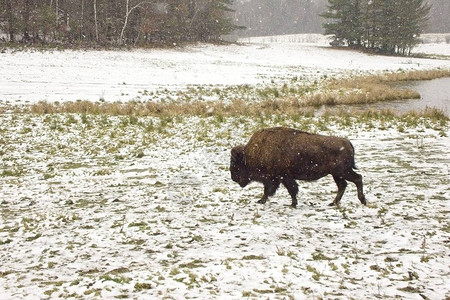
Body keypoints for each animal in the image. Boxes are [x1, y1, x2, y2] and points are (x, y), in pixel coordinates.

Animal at [230, 127, 368, 209]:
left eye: (235, 163)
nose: (233, 178)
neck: (250, 154)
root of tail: (347, 143)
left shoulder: (280, 177)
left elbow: (283, 190)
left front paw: (291, 204)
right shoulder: (281, 178)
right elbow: (286, 190)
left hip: (342, 172)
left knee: (357, 179)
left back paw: (362, 200)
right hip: (336, 174)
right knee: (343, 185)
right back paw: (333, 203)